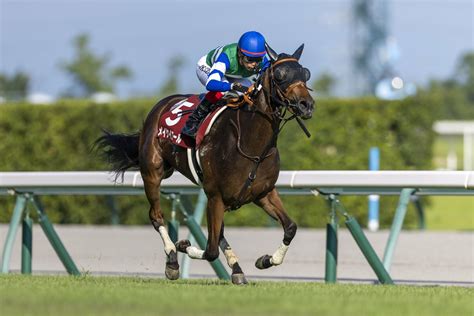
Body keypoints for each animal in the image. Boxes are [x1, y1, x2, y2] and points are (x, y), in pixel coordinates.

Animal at [96, 43, 314, 284]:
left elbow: (291, 227)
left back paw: (237, 270)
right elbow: (210, 250)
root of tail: (161, 105)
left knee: (219, 233)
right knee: (156, 216)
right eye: (280, 75)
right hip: (153, 172)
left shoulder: (262, 193)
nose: (306, 105)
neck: (251, 145)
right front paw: (183, 245)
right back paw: (172, 260)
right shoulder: (216, 195)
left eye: (305, 73)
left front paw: (266, 260)